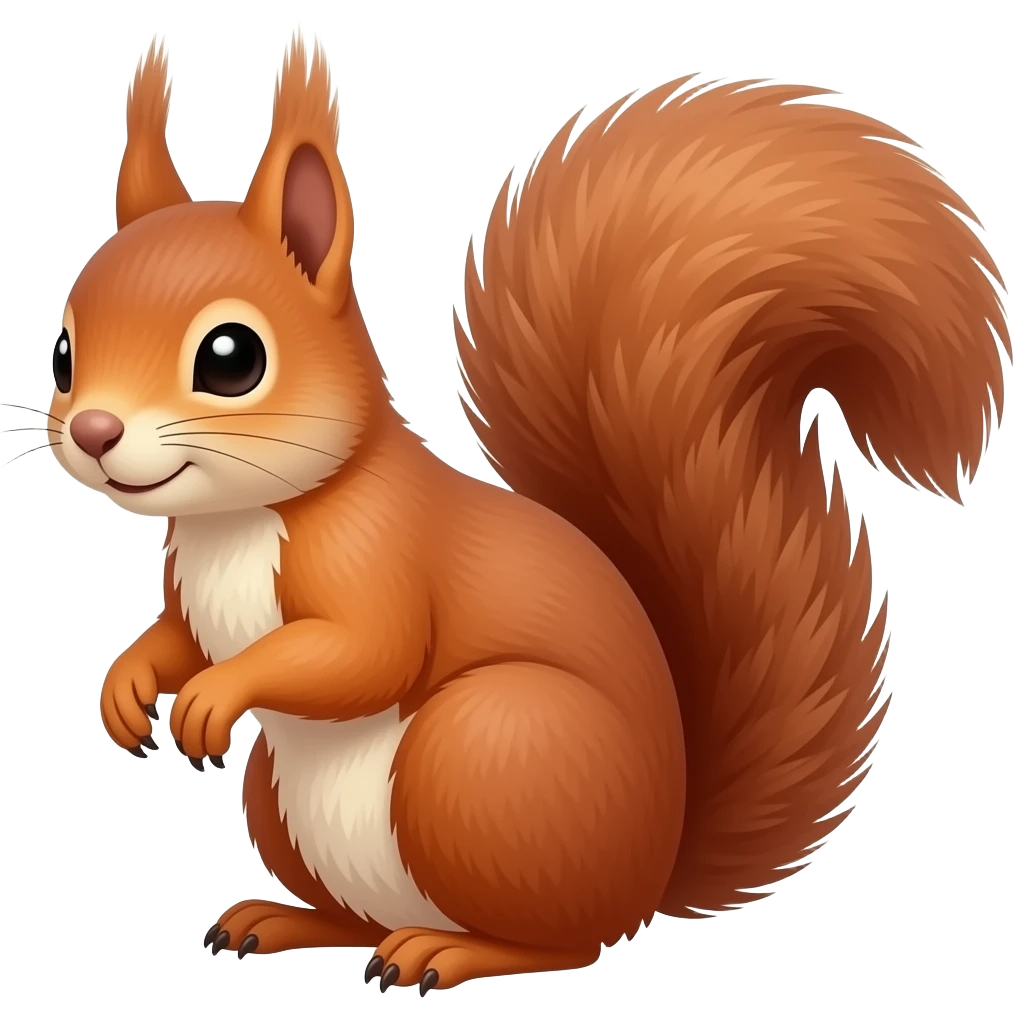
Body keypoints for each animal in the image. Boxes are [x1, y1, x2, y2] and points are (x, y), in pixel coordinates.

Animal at [49, 25, 1007, 995]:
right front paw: (126, 686)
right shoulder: (191, 587)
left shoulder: (381, 554)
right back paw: (286, 920)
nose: (92, 431)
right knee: (360, 919)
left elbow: (365, 652)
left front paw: (215, 694)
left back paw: (448, 951)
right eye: (62, 352)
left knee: (562, 942)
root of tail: (650, 876)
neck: (239, 521)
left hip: (485, 751)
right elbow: (178, 636)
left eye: (232, 358)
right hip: (288, 803)